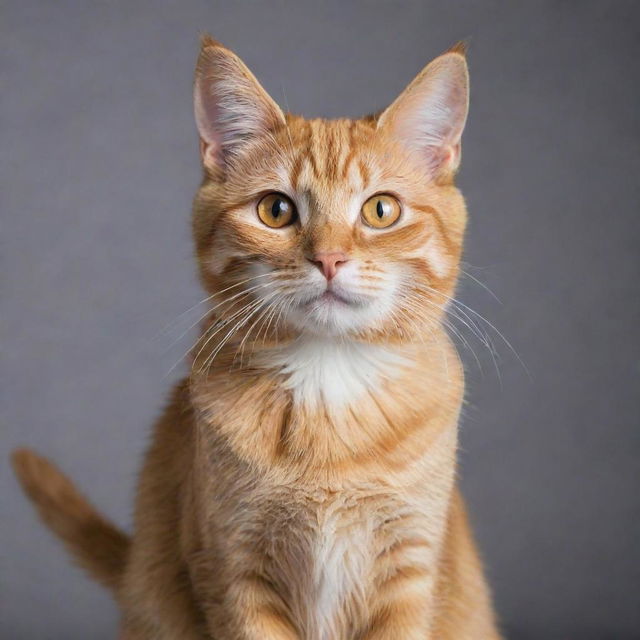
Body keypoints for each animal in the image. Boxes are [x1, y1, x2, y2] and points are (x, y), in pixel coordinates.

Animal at [8, 36, 500, 640]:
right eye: (276, 209)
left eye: (381, 210)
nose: (329, 258)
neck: (328, 381)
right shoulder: (231, 568)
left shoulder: (408, 571)